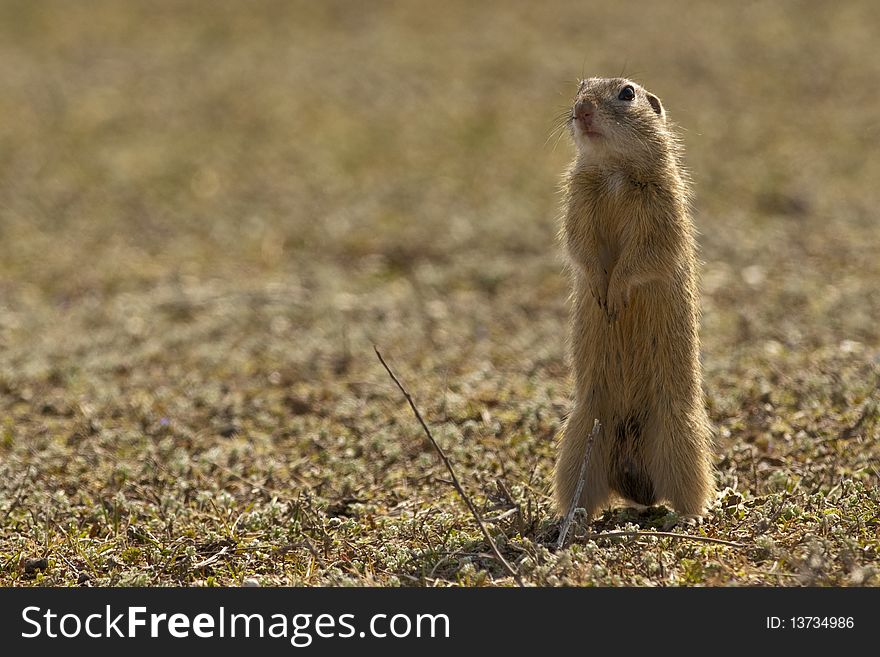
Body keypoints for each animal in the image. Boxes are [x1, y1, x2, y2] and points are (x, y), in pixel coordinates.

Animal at [556, 75, 716, 516]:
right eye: (579, 87)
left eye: (627, 93)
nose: (581, 110)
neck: (614, 172)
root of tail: (635, 479)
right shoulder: (578, 199)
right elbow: (580, 245)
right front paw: (600, 291)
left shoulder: (662, 206)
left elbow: (647, 253)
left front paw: (616, 295)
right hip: (578, 436)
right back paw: (570, 518)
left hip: (681, 436)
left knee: (689, 490)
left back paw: (693, 516)